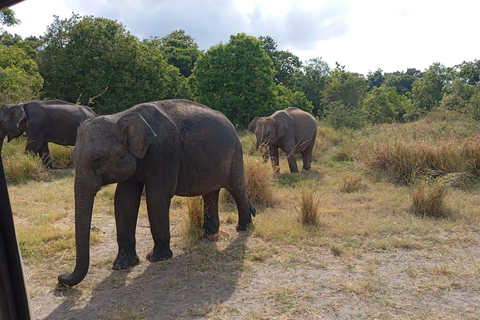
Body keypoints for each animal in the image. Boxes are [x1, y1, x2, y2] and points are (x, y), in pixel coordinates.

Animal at [58, 99, 256, 286]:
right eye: (73, 159)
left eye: (97, 160)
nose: (61, 277)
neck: (121, 116)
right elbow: (123, 200)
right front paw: (122, 265)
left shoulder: (163, 154)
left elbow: (156, 197)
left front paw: (156, 258)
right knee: (210, 193)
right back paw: (206, 235)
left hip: (236, 154)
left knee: (237, 189)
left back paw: (243, 227)